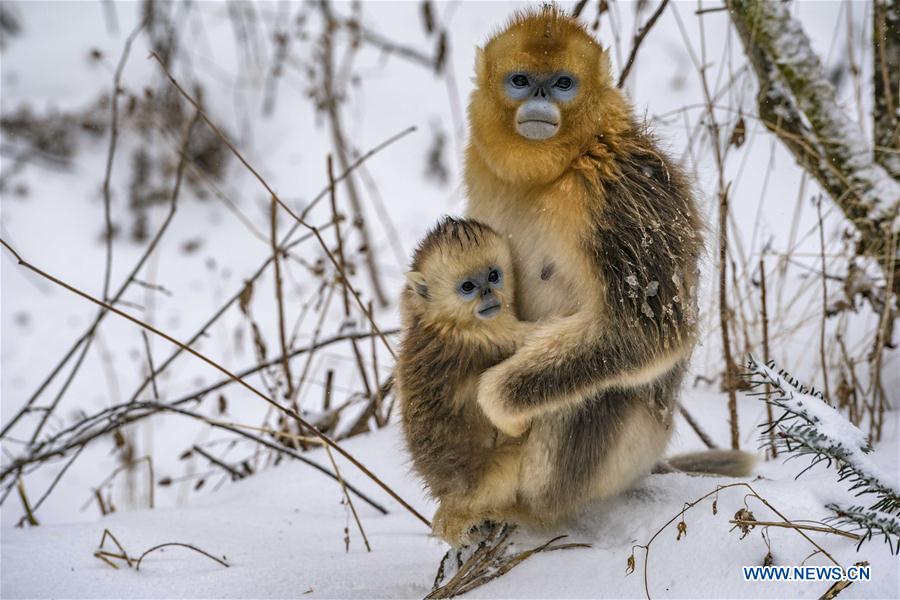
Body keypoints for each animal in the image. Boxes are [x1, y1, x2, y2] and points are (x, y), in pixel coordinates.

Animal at [398, 217, 532, 548]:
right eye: (468, 287)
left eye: (493, 276)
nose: (488, 293)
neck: (449, 322)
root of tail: (453, 495)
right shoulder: (489, 338)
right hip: (495, 471)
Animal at [450, 4, 752, 540]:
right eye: (521, 80)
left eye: (563, 83)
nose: (541, 98)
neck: (564, 165)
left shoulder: (616, 192)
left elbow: (647, 332)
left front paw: (497, 402)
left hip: (632, 447)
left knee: (593, 391)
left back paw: (533, 513)